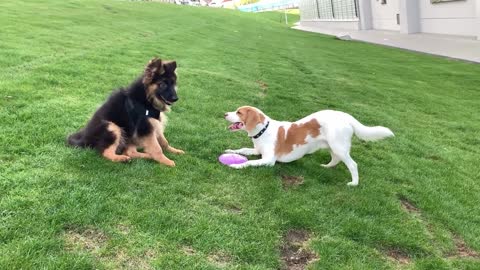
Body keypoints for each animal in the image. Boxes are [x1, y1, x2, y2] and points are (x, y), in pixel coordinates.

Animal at [225, 105, 394, 186]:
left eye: (239, 112)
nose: (225, 114)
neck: (263, 131)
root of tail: (344, 116)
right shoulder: (256, 150)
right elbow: (243, 150)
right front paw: (231, 150)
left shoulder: (268, 160)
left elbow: (249, 162)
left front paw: (236, 165)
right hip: (332, 146)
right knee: (335, 159)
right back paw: (326, 167)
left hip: (339, 147)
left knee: (352, 165)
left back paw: (354, 183)